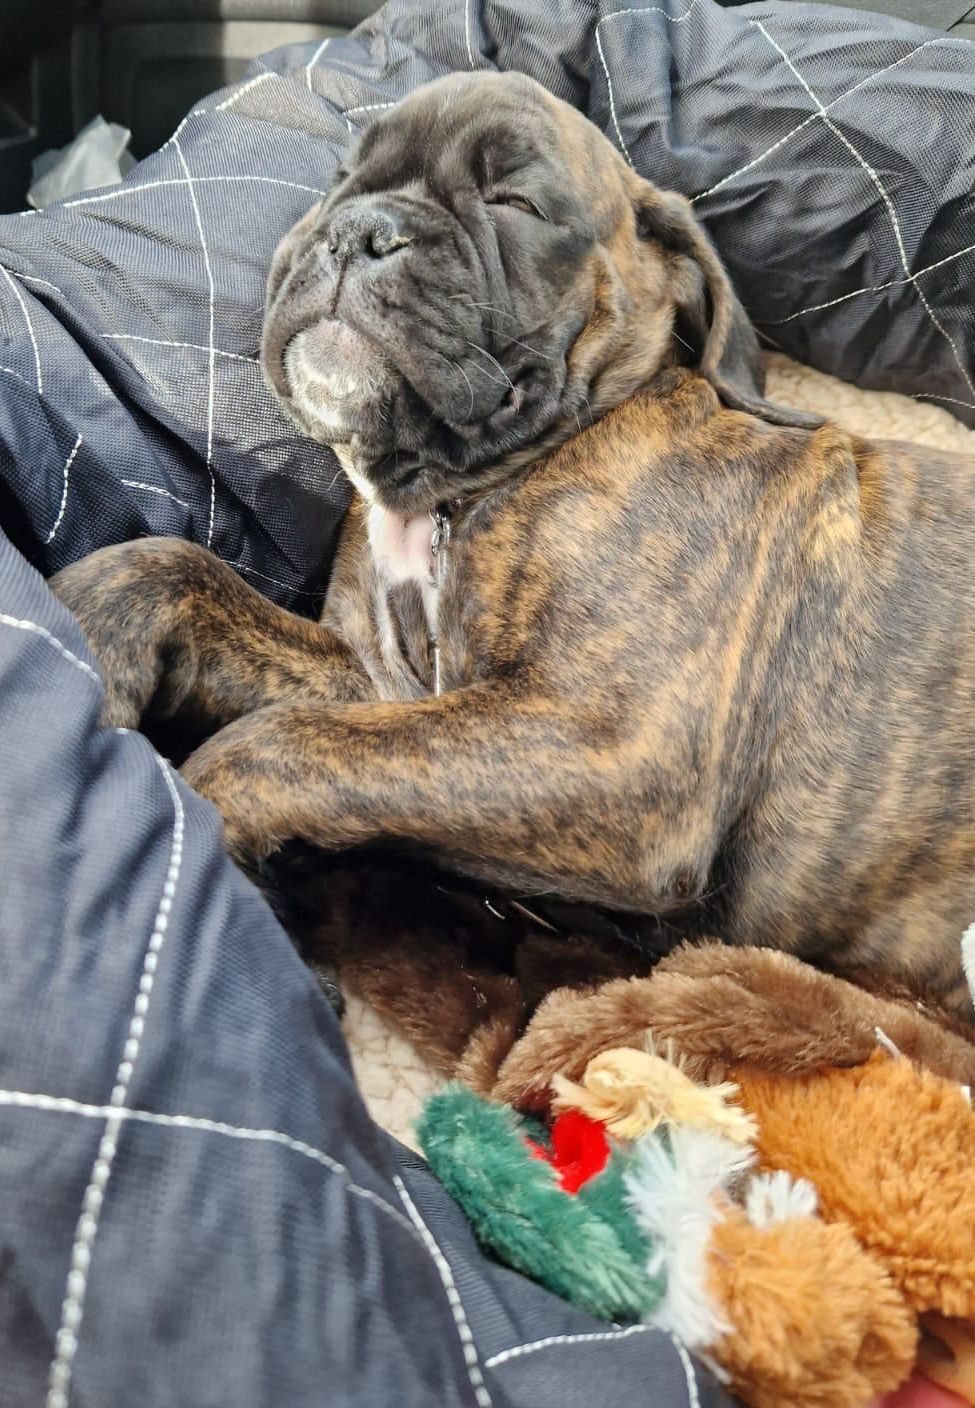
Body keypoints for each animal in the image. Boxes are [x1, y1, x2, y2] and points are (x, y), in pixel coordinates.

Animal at [52, 71, 975, 1016]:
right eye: (342, 177)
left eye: (516, 203)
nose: (357, 228)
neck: (454, 491)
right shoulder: (385, 685)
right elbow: (173, 573)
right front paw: (79, 641)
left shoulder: (603, 748)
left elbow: (265, 749)